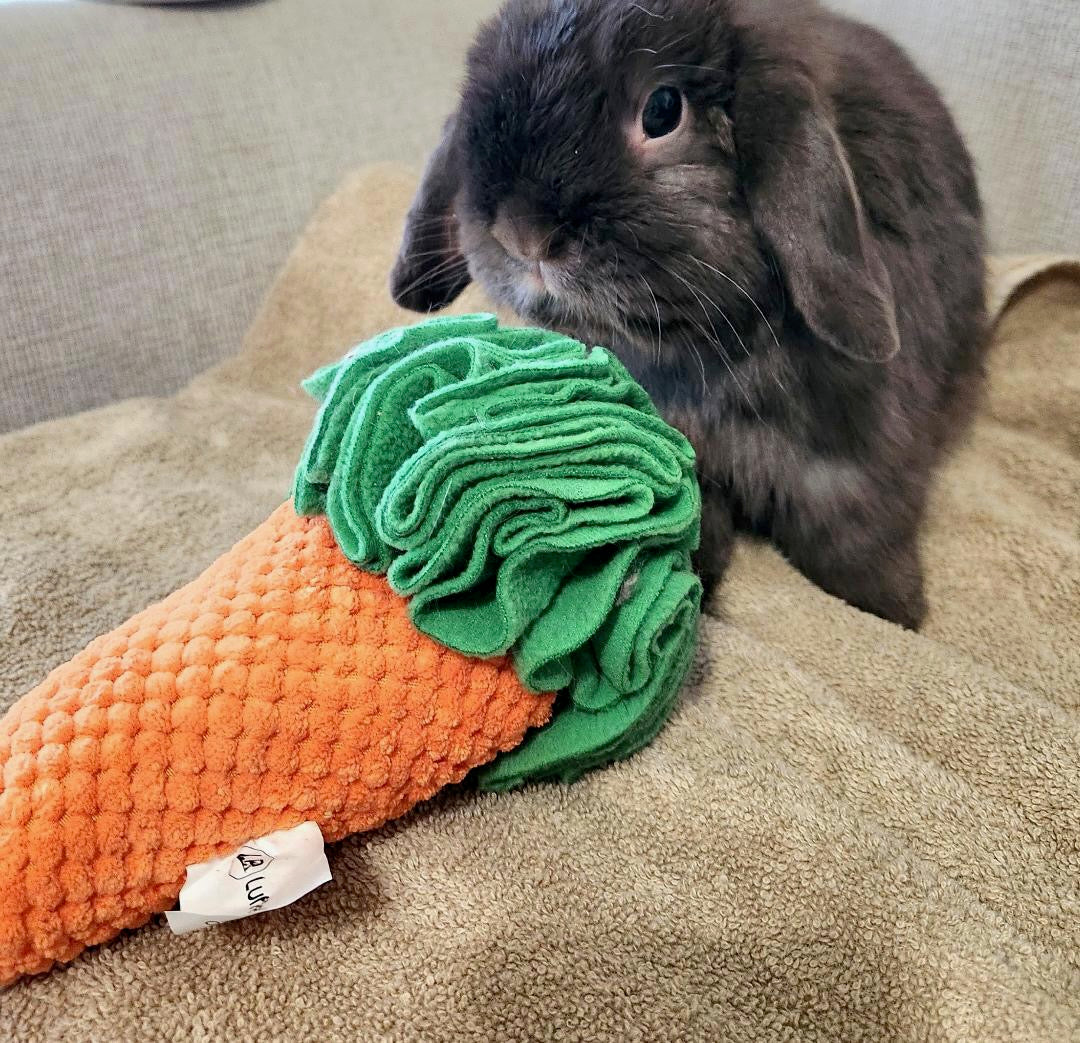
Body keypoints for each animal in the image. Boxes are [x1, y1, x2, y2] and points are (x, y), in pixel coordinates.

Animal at [390, 0, 987, 630]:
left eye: (662, 110)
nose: (521, 233)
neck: (704, 352)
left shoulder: (854, 468)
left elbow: (856, 532)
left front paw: (896, 610)